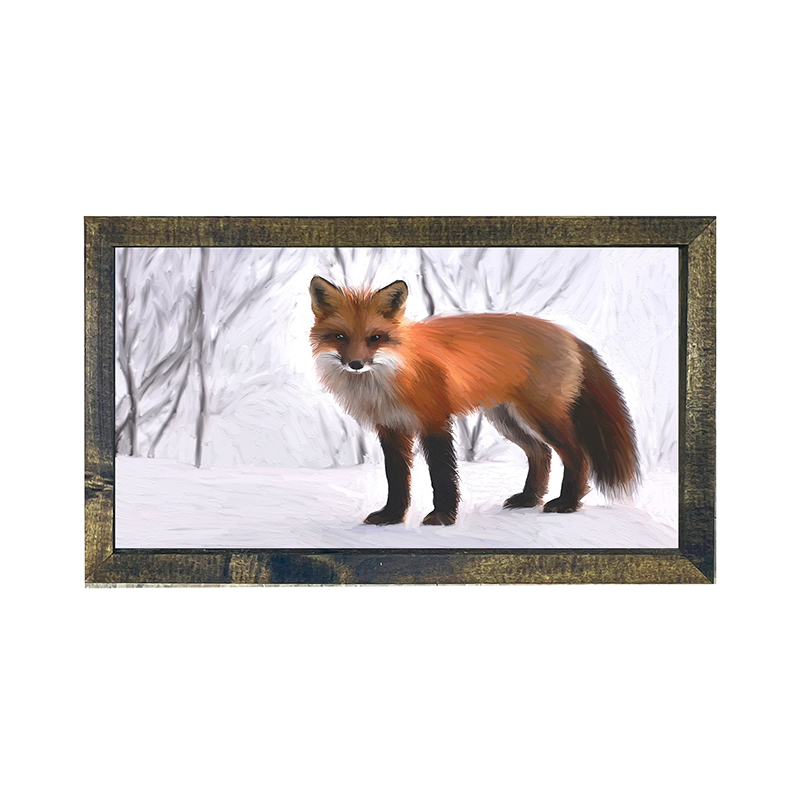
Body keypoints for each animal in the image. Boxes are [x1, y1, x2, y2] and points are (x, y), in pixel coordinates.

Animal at [309, 275, 639, 526]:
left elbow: (442, 475)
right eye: (340, 337)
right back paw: (529, 499)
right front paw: (392, 517)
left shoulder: (434, 421)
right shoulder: (391, 428)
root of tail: (567, 333)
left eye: (375, 338)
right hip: (507, 419)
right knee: (541, 453)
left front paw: (442, 517)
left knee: (577, 454)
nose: (355, 364)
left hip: (542, 417)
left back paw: (567, 503)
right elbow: (397, 478)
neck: (392, 377)